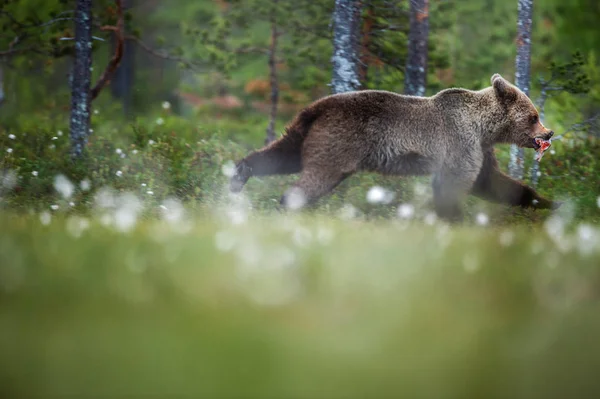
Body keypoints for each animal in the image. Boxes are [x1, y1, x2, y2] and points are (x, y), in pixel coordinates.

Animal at [229, 75, 556, 222]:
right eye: (534, 115)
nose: (549, 132)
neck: (484, 128)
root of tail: (315, 108)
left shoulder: (480, 149)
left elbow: (491, 182)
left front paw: (547, 202)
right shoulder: (459, 142)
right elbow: (456, 181)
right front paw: (454, 218)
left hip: (307, 133)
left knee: (282, 154)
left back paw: (240, 173)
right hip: (340, 141)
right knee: (314, 177)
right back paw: (286, 206)